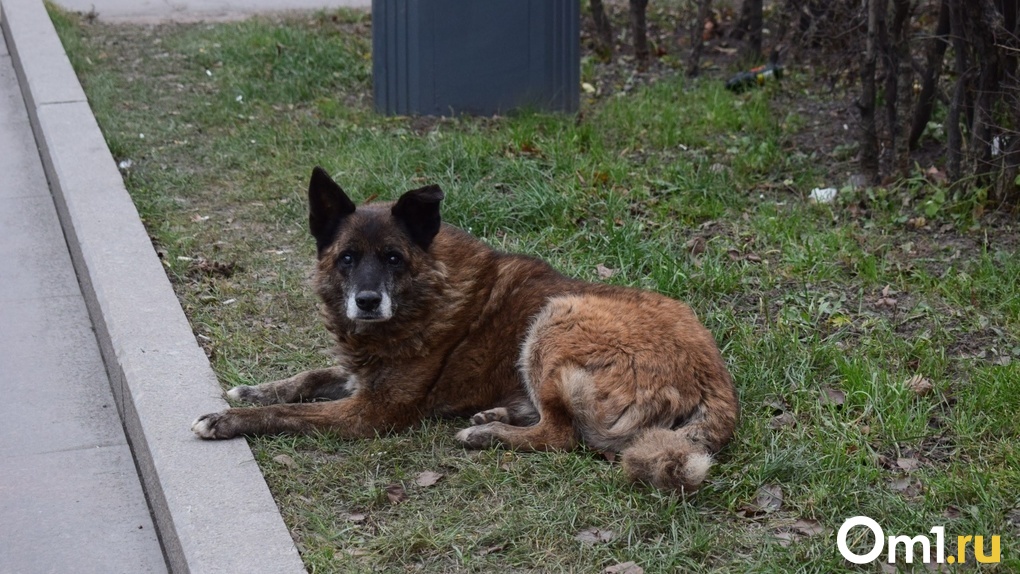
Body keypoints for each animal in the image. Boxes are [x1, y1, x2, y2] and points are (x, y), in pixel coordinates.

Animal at [191, 167, 738, 493]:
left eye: (393, 258)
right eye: (347, 258)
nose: (367, 302)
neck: (426, 291)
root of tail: (716, 382)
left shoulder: (371, 413)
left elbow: (288, 413)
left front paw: (227, 420)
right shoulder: (358, 375)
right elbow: (306, 378)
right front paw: (253, 389)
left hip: (555, 320)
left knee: (562, 435)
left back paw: (488, 433)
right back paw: (495, 414)